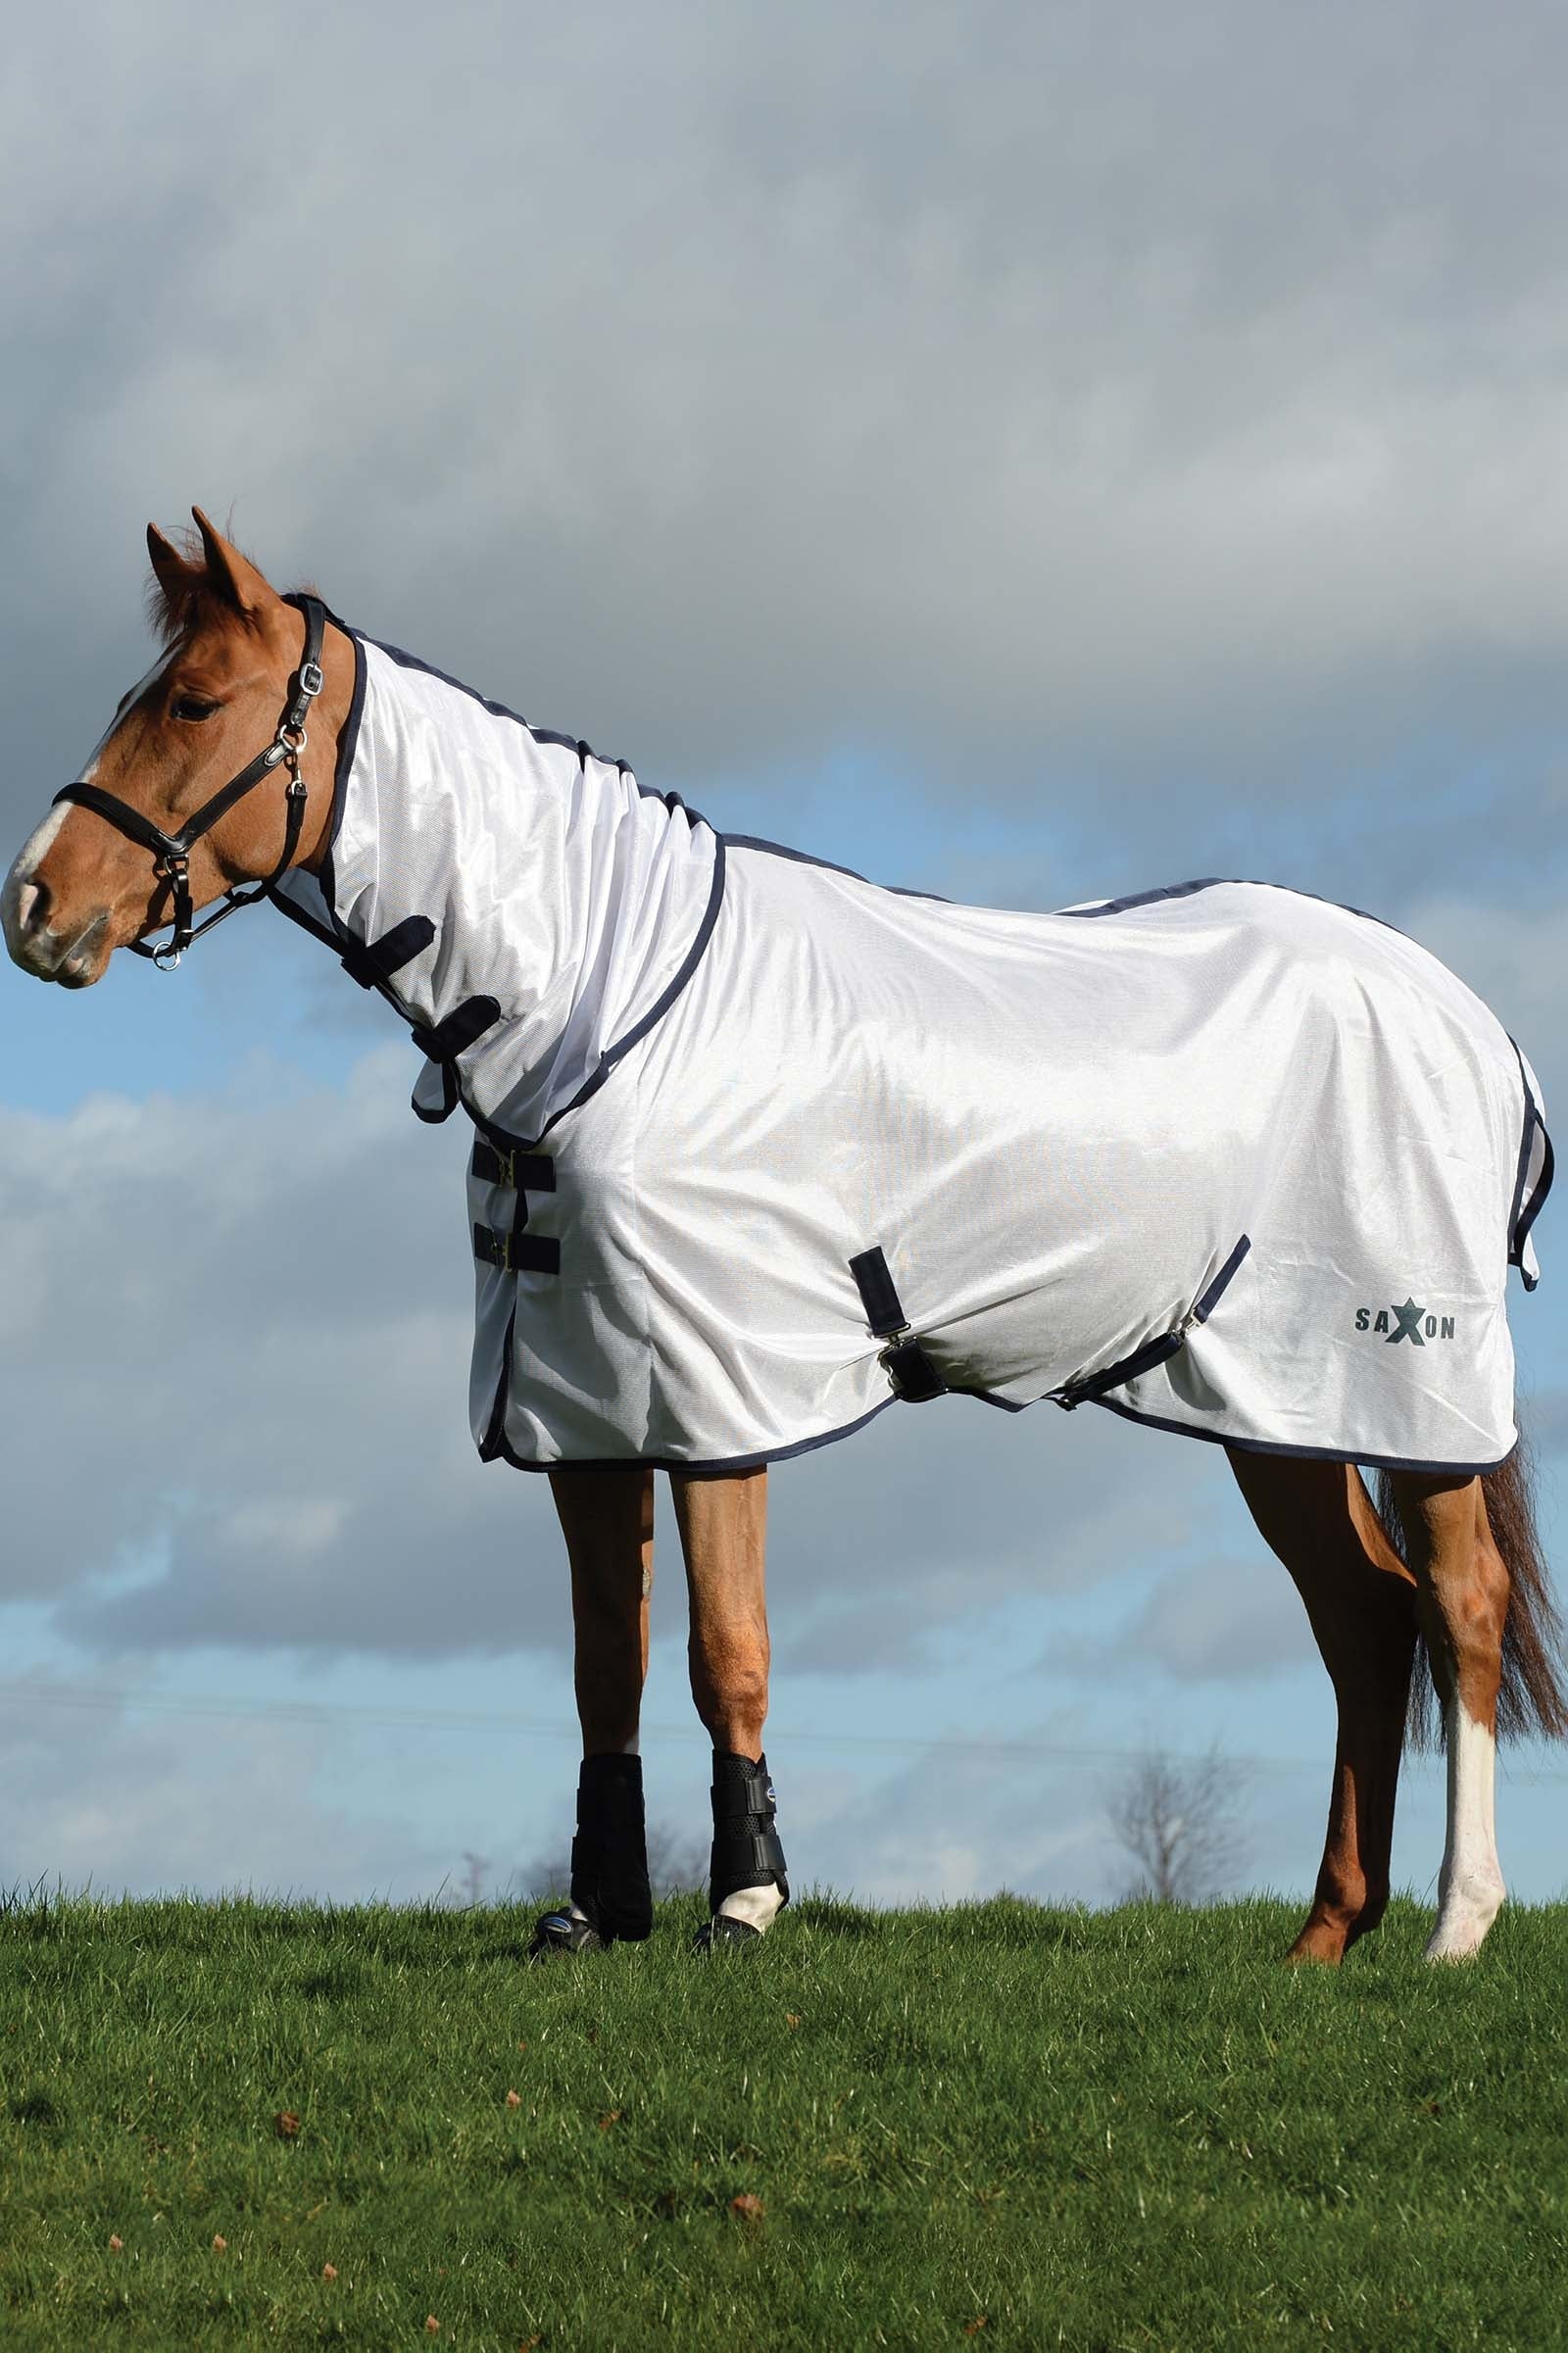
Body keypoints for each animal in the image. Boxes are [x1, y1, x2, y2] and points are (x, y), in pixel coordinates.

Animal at [6, 509, 1562, 1965]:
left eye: (192, 702)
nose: (36, 905)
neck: (608, 1001)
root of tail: (1474, 1022)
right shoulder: (580, 1407)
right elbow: (605, 1664)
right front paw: (598, 1909)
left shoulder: (716, 1390)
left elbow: (722, 1650)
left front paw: (745, 1899)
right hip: (1270, 1401)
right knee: (1364, 1622)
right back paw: (1321, 1940)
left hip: (1404, 1386)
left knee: (1459, 1609)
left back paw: (1454, 1924)